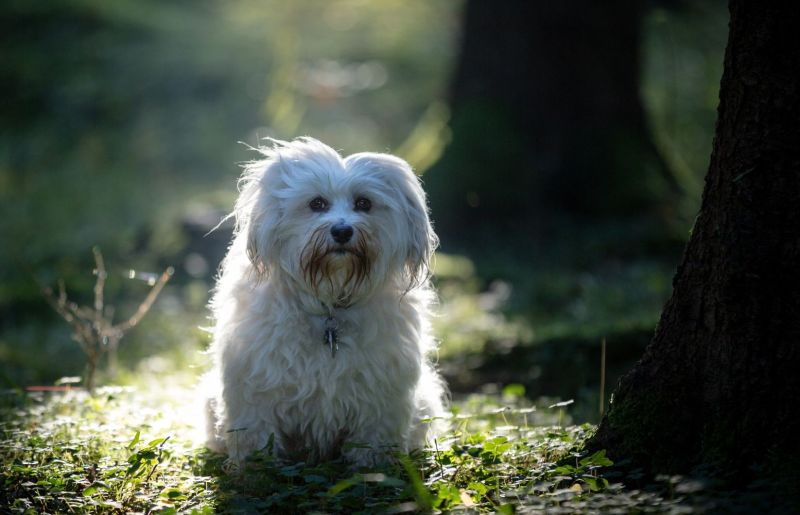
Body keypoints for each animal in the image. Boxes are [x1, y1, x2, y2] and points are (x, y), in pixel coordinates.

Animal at [203, 137, 446, 468]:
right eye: (316, 203)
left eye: (363, 203)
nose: (342, 231)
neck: (330, 305)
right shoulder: (256, 388)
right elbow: (257, 434)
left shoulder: (379, 393)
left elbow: (372, 440)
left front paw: (372, 468)